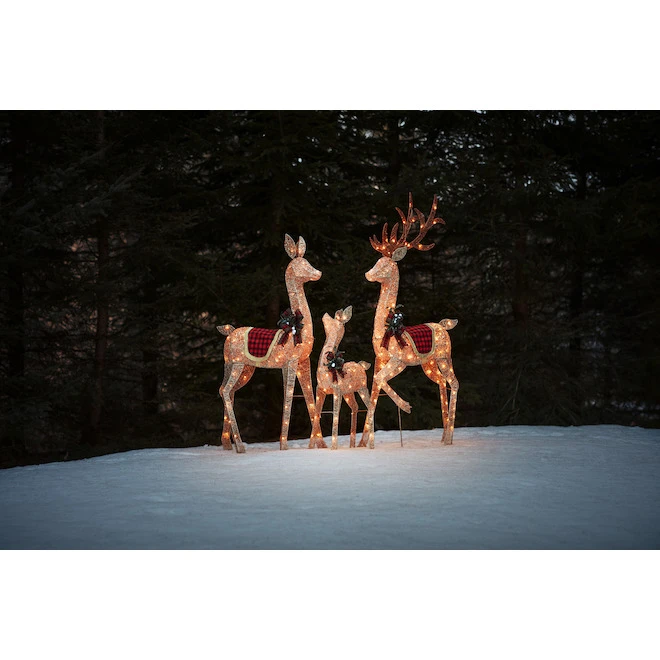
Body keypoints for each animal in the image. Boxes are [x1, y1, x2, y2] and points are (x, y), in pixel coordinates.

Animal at [217, 234, 325, 453]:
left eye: (308, 262)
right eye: (302, 265)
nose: (318, 273)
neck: (297, 328)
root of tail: (229, 333)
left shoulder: (303, 362)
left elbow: (309, 397)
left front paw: (321, 444)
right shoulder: (291, 362)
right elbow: (289, 398)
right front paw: (284, 445)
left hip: (238, 366)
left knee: (226, 391)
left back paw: (227, 444)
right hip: (238, 364)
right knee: (225, 391)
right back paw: (240, 446)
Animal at [315, 306, 371, 449]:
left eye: (335, 319)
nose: (325, 315)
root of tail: (362, 365)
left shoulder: (337, 391)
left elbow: (335, 416)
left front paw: (333, 447)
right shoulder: (320, 390)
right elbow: (316, 412)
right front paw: (317, 446)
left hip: (362, 388)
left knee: (370, 406)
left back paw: (364, 443)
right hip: (349, 392)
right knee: (355, 407)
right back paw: (353, 445)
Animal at [359, 193, 459, 449]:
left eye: (385, 265)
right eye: (376, 260)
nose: (368, 274)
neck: (387, 328)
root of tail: (444, 325)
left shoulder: (399, 360)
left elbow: (380, 381)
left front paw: (406, 406)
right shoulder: (380, 359)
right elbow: (374, 390)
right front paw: (365, 443)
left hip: (444, 356)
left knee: (453, 383)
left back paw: (450, 438)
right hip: (429, 363)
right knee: (441, 383)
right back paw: (443, 435)